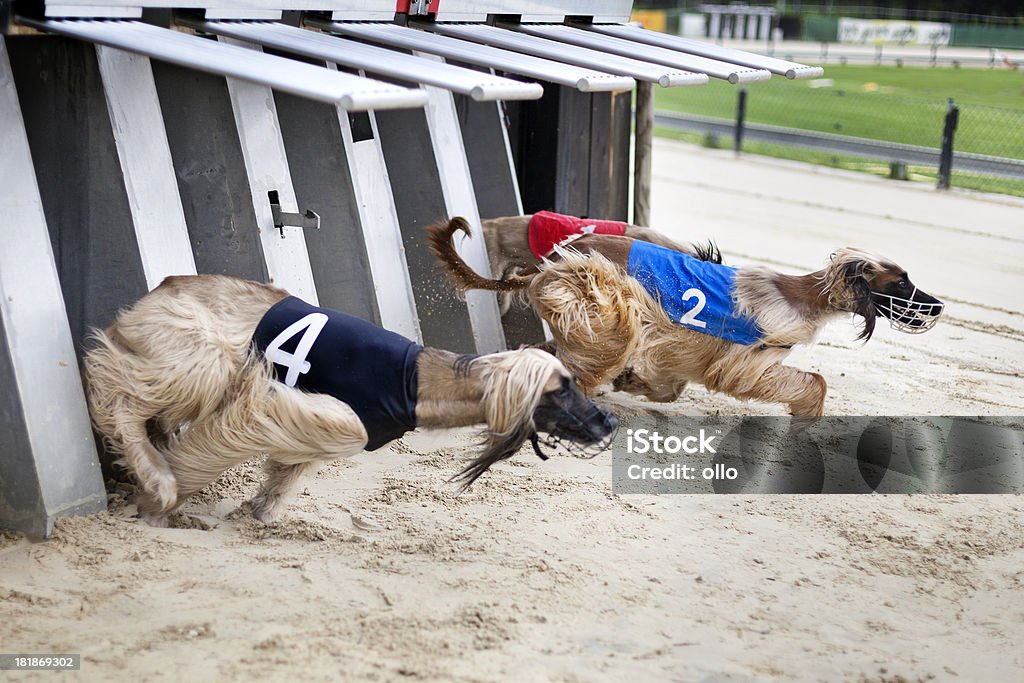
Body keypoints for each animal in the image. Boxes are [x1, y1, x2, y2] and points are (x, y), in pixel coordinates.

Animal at [425, 218, 942, 417]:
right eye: (901, 282)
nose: (937, 306)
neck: (802, 298)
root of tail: (548, 265)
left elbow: (669, 386)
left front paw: (636, 383)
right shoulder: (741, 362)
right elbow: (811, 382)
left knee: (540, 354)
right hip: (607, 315)